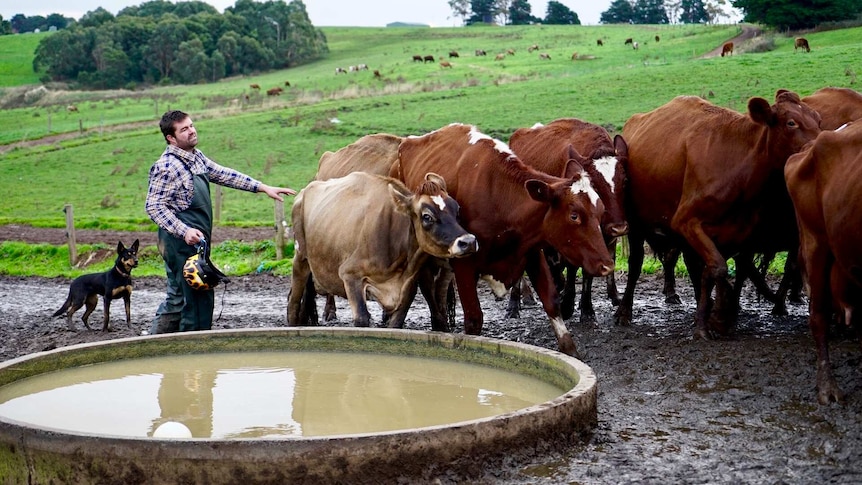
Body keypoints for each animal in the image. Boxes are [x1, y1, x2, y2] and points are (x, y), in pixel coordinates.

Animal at [288, 171, 480, 328]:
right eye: (427, 216)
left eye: (457, 209)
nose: (468, 241)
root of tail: (306, 190)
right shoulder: (350, 275)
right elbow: (362, 320)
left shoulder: (408, 286)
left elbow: (396, 323)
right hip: (300, 257)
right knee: (293, 302)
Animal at [392, 121, 616, 356]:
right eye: (574, 215)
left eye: (599, 211)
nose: (607, 265)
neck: (498, 197)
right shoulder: (464, 262)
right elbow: (474, 319)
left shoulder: (531, 252)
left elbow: (552, 304)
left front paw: (571, 351)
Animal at [510, 117, 632, 324]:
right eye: (595, 185)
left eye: (624, 182)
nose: (618, 228)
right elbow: (571, 266)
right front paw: (567, 304)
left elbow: (589, 271)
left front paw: (586, 308)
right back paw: (514, 303)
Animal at [620, 91, 824, 340]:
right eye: (791, 123)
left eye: (818, 119)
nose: (822, 145)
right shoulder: (686, 221)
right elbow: (719, 268)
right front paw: (717, 318)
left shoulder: (736, 233)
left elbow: (716, 271)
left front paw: (713, 318)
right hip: (636, 225)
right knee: (635, 264)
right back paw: (623, 312)